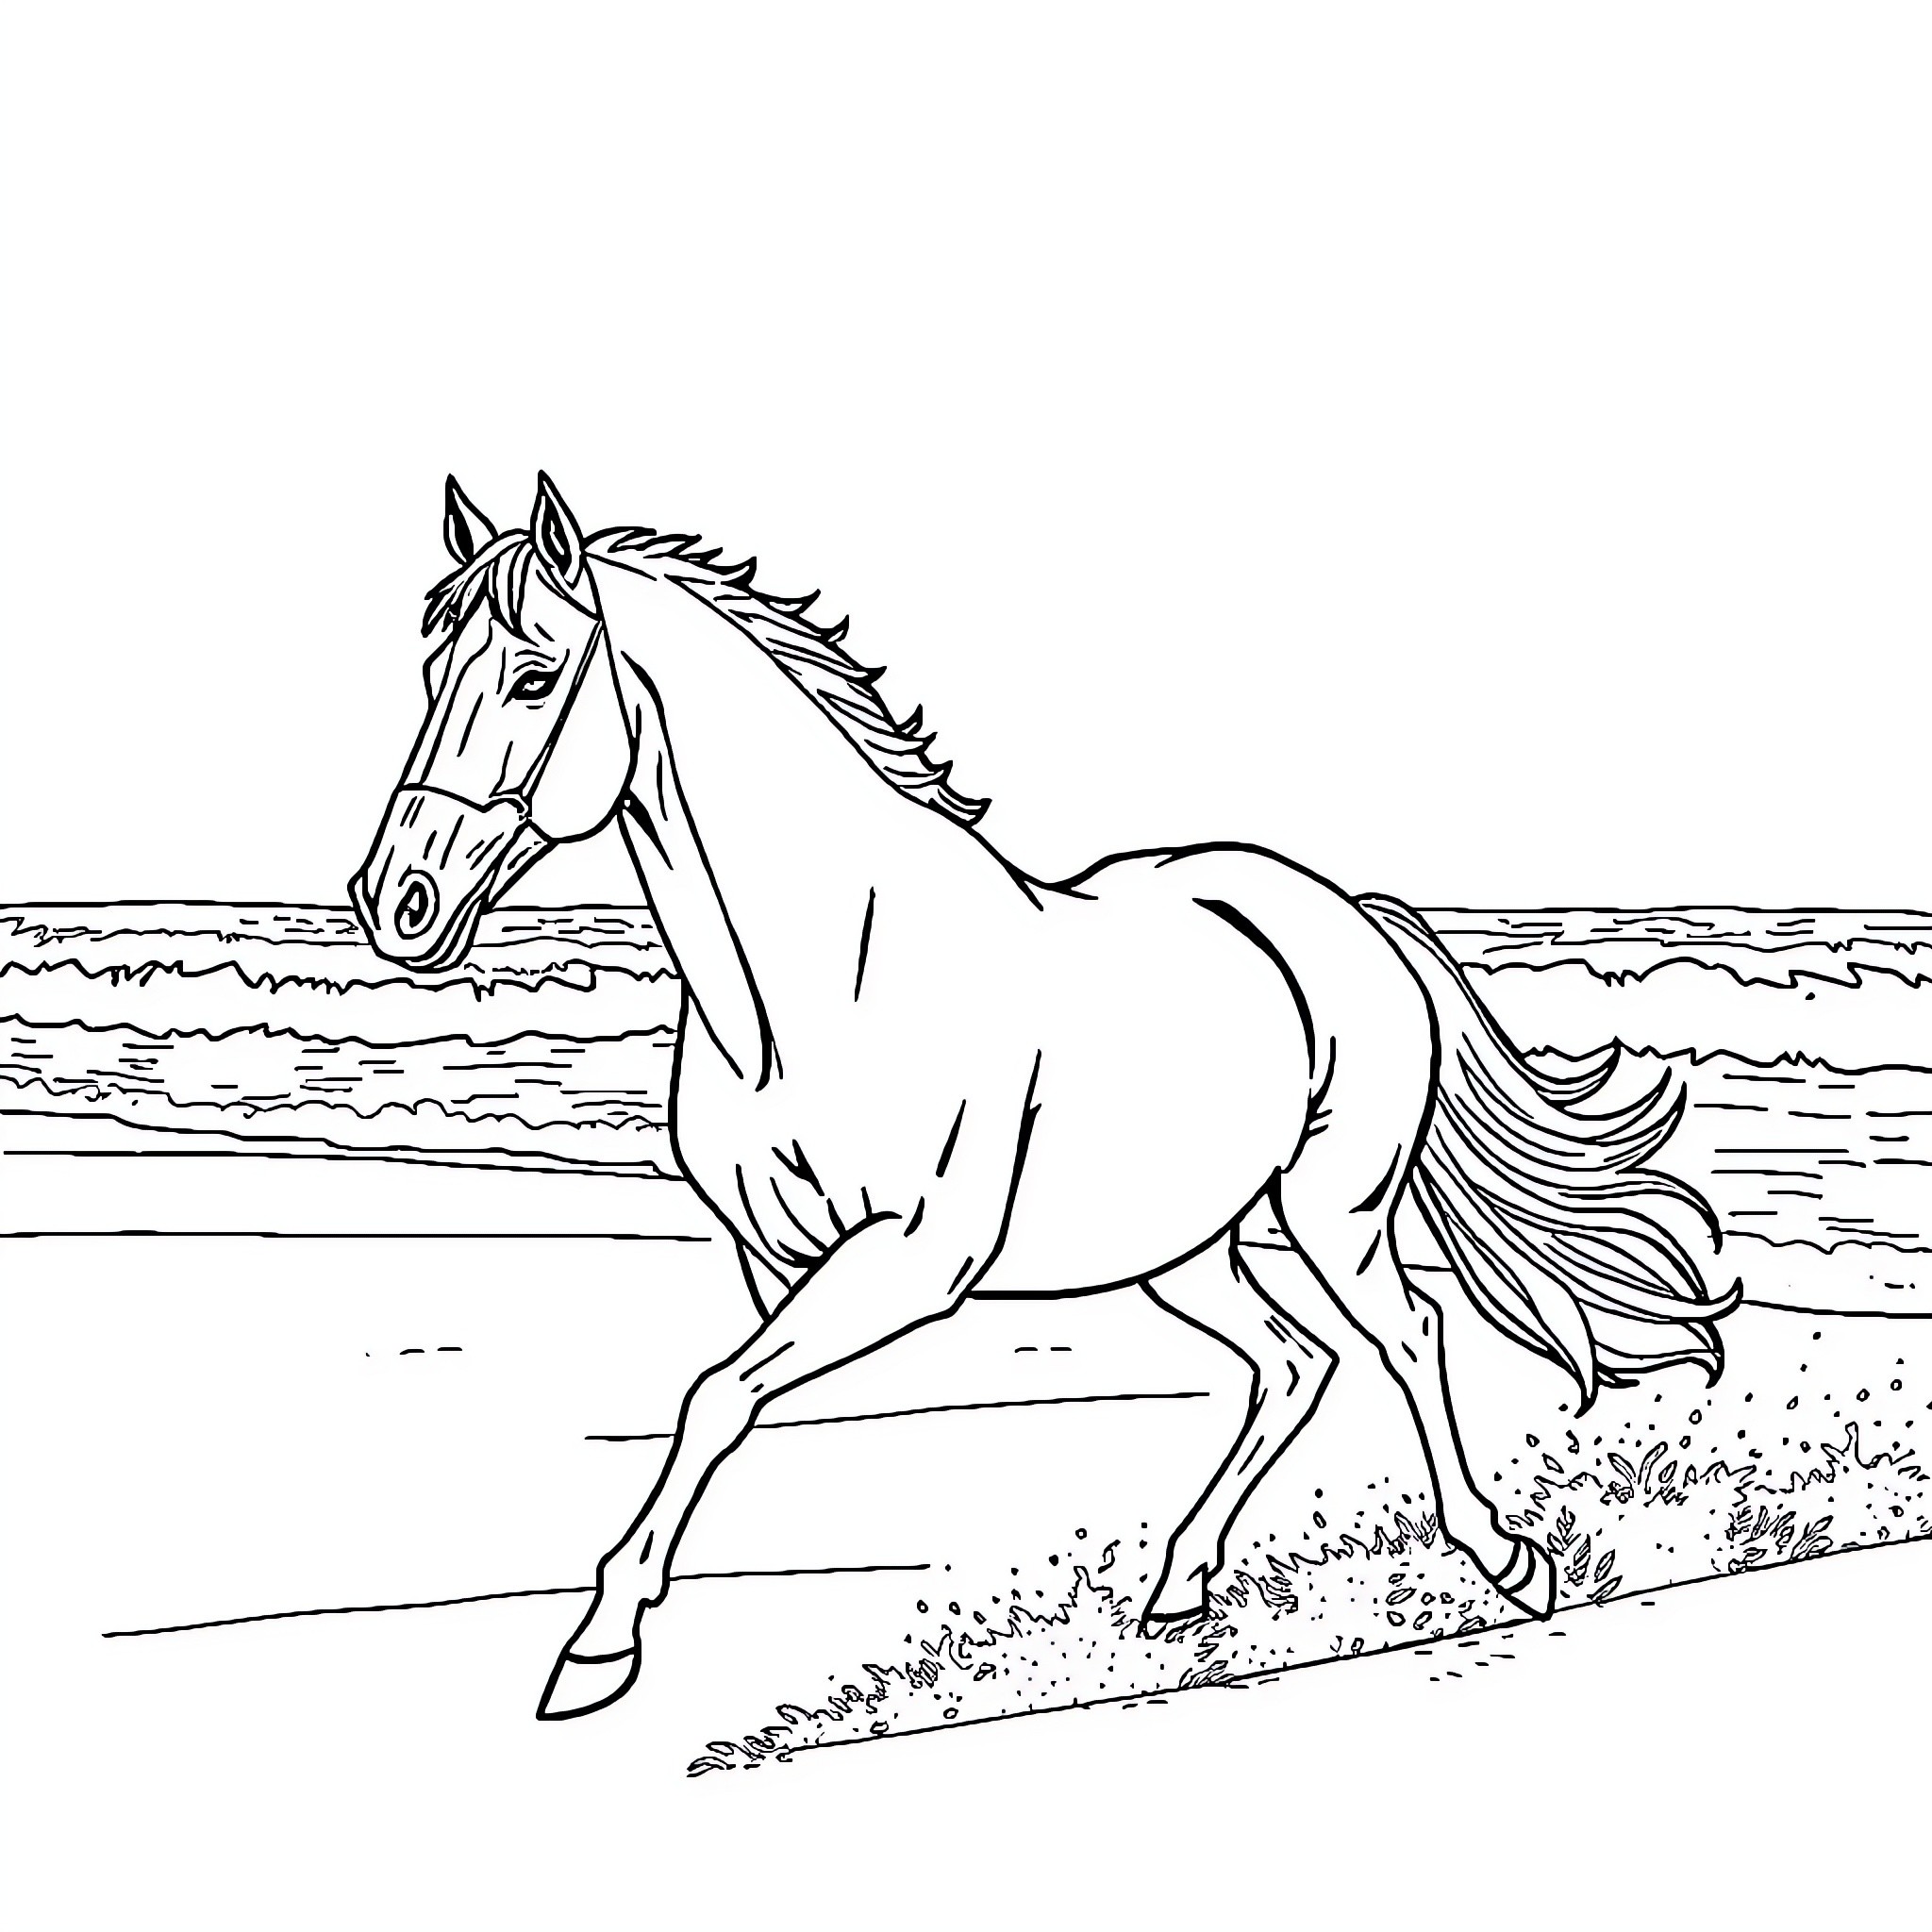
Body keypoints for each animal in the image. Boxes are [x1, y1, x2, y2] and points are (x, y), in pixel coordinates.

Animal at [350, 473, 1738, 1721]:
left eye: (533, 678)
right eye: (430, 675)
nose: (396, 902)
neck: (821, 977)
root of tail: (1348, 913)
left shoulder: (912, 1257)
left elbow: (716, 1398)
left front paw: (596, 1651)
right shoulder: (774, 1256)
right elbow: (738, 1404)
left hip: (1332, 1210)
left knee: (1403, 1333)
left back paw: (1506, 1559)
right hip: (1184, 1244)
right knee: (1290, 1362)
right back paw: (1177, 1587)